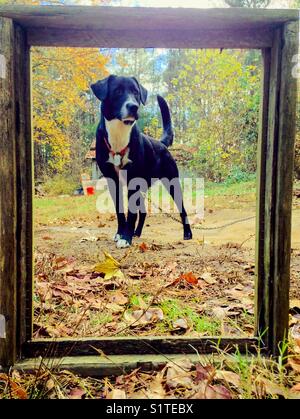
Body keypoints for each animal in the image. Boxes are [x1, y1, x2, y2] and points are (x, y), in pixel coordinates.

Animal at [91, 75, 192, 248]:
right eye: (117, 91)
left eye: (136, 93)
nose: (134, 106)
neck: (119, 135)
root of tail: (161, 143)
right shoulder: (113, 181)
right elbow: (120, 211)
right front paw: (121, 234)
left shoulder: (133, 181)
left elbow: (131, 213)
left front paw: (126, 238)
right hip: (143, 187)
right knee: (143, 212)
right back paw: (136, 233)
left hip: (172, 183)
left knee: (182, 209)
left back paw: (187, 234)